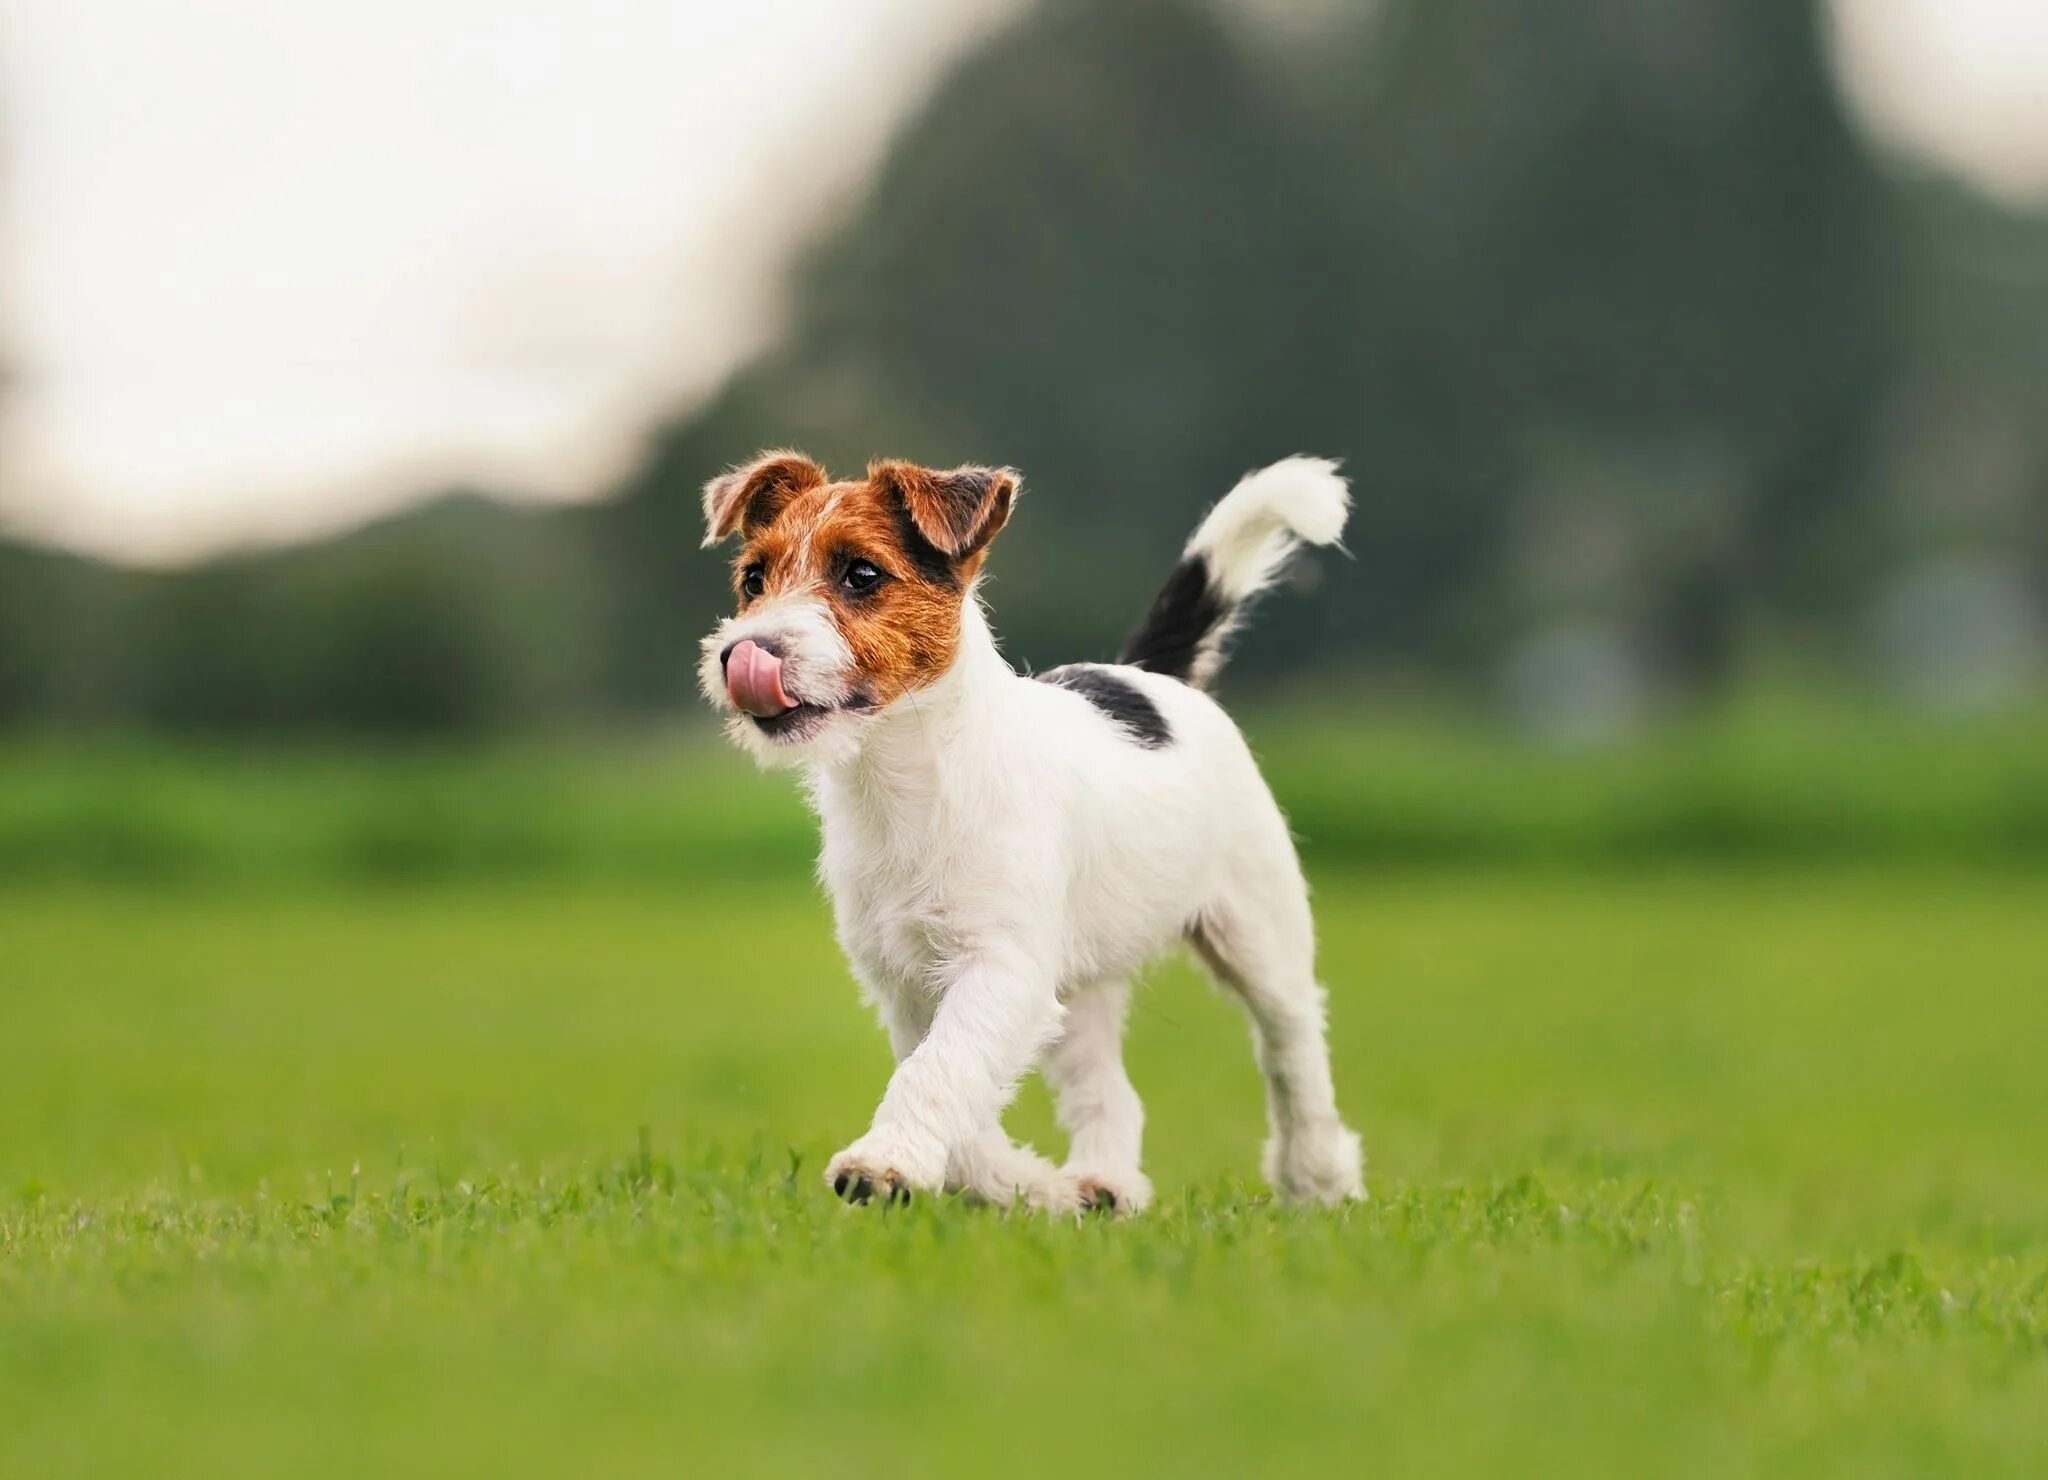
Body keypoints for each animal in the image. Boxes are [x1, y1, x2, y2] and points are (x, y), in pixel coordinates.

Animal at [700, 454, 1359, 1211]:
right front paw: (1027, 1187)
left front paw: (883, 1163)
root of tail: (1150, 677)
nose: (743, 653)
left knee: (1292, 1044)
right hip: (1081, 984)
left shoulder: (1000, 965)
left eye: (860, 574)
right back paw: (1101, 1185)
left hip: (1257, 929)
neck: (908, 779)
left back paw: (1317, 1178)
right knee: (1112, 1093)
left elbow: (940, 1068)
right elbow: (953, 1088)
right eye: (753, 579)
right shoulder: (906, 985)